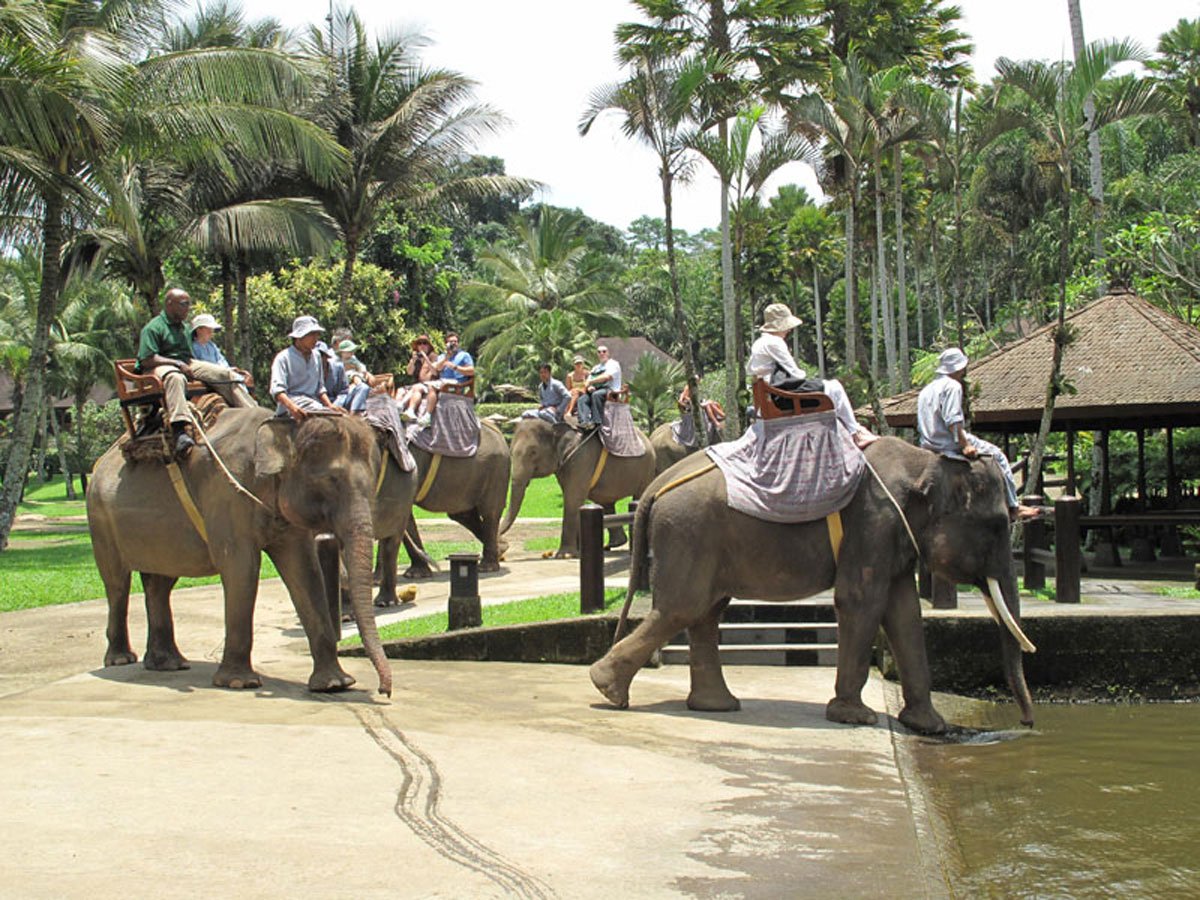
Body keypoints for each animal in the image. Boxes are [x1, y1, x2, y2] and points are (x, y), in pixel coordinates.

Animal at [88, 408, 395, 695]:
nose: (384, 690)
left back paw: (169, 663)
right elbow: (241, 568)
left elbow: (305, 571)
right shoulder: (227, 495)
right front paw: (239, 683)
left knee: (160, 582)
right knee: (117, 583)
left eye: (372, 482)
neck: (283, 428)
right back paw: (121, 659)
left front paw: (334, 684)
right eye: (331, 480)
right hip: (99, 519)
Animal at [501, 418, 656, 558]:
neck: (555, 426)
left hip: (646, 468)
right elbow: (574, 498)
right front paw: (577, 552)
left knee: (638, 496)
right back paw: (612, 545)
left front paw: (565, 555)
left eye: (533, 452)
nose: (504, 545)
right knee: (606, 502)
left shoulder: (581, 458)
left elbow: (573, 498)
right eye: (511, 452)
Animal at [589, 437, 1037, 734]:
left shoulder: (893, 537)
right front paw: (856, 718)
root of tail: (654, 487)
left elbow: (904, 613)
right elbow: (860, 601)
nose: (1027, 724)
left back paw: (716, 707)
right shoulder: (872, 523)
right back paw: (609, 690)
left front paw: (930, 726)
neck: (923, 461)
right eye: (998, 525)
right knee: (683, 608)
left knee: (704, 612)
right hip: (688, 531)